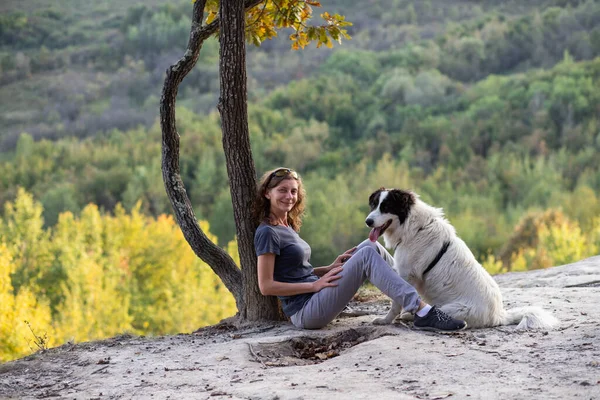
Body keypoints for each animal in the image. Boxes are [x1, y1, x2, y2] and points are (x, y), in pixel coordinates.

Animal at [366, 189, 556, 330]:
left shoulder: (406, 275)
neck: (413, 227)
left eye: (386, 207)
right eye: (374, 205)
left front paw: (385, 320)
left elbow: (396, 302)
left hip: (450, 309)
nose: (368, 221)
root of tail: (499, 315)